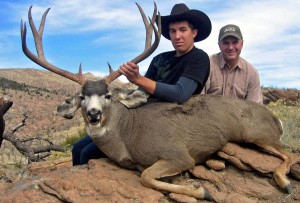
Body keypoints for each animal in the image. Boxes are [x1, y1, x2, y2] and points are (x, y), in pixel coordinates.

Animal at [21, 2, 298, 201]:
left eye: (108, 95)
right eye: (81, 97)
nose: (93, 114)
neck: (127, 134)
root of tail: (276, 119)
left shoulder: (177, 154)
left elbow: (146, 176)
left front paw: (202, 190)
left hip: (260, 134)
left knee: (289, 154)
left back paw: (284, 183)